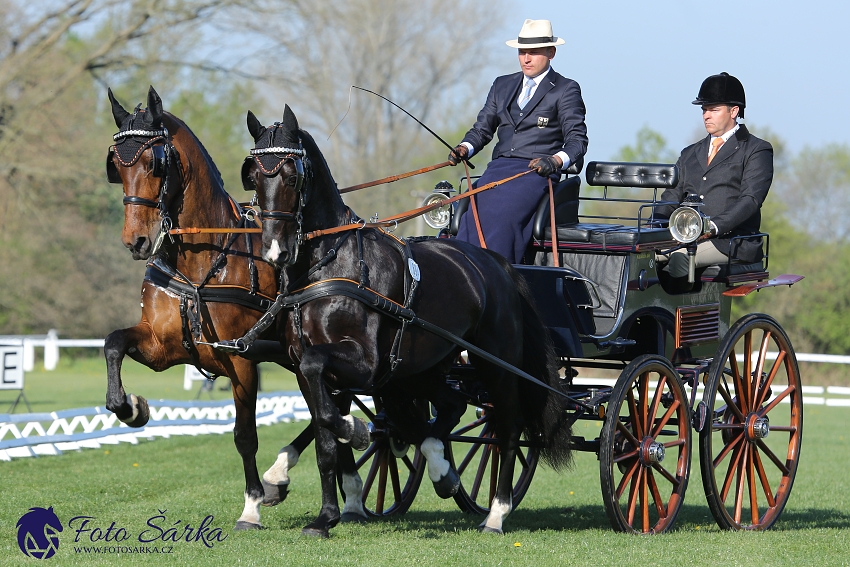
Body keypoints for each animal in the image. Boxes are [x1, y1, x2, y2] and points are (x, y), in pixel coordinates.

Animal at [238, 106, 568, 536]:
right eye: (255, 176)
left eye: (292, 176)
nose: (275, 250)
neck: (329, 264)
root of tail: (498, 263)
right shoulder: (306, 369)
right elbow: (325, 439)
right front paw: (325, 517)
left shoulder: (361, 362)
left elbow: (329, 406)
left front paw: (355, 432)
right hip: (424, 366)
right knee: (450, 406)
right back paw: (441, 469)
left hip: (496, 363)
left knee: (506, 428)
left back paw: (496, 513)